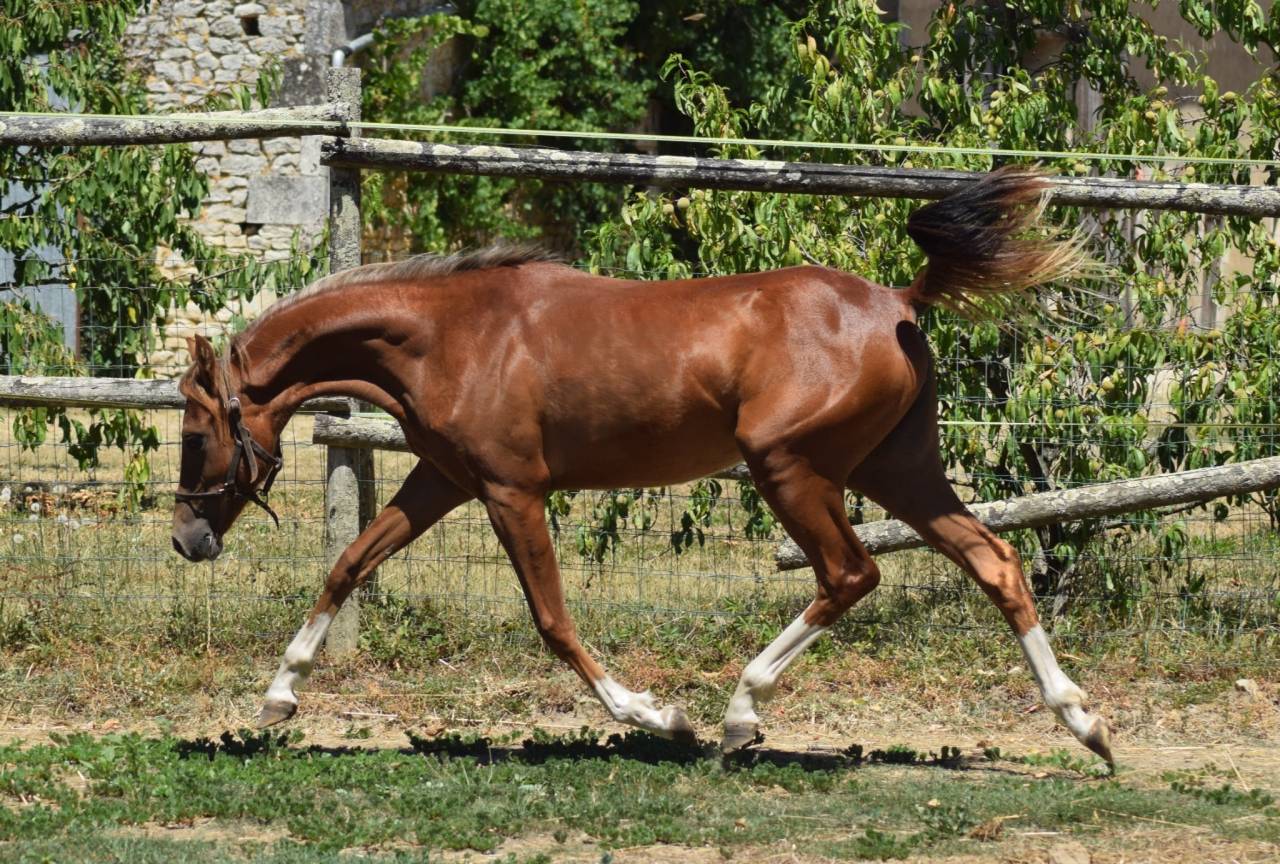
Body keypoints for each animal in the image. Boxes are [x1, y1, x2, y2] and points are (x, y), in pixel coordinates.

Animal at [171, 168, 1113, 765]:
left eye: (196, 428)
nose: (185, 539)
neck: (452, 337)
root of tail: (899, 303)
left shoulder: (512, 491)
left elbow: (552, 621)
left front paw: (662, 718)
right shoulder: (442, 479)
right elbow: (349, 563)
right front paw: (277, 701)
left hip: (791, 468)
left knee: (851, 574)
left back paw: (737, 717)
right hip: (898, 470)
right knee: (995, 560)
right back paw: (1087, 728)